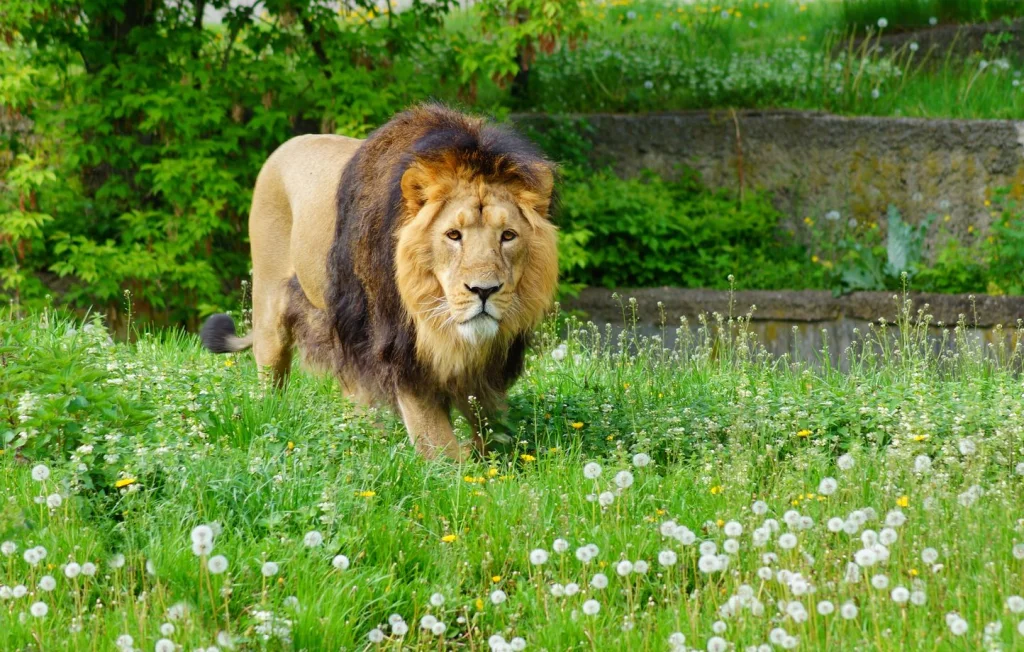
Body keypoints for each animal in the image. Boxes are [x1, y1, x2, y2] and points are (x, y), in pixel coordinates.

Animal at [200, 104, 559, 461]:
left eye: (508, 236)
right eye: (453, 235)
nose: (484, 290)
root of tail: (284, 147)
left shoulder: (490, 368)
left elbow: (490, 428)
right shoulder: (401, 353)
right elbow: (439, 444)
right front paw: (460, 468)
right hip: (270, 307)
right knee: (271, 380)